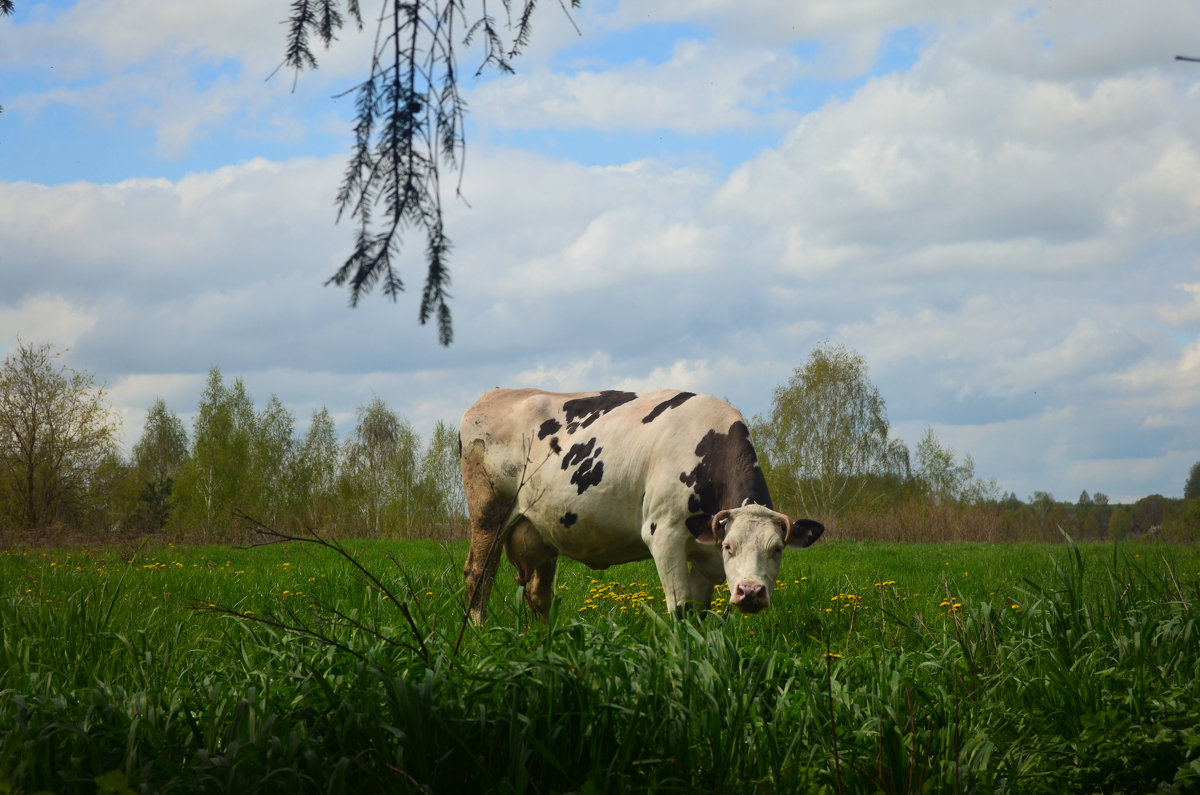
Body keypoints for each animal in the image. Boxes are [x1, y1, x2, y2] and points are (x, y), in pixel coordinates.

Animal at [458, 389, 825, 624]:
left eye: (777, 549)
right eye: (730, 546)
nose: (750, 591)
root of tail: (491, 396)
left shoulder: (706, 562)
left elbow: (698, 614)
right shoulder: (664, 535)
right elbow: (680, 612)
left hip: (541, 531)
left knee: (538, 595)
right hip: (488, 514)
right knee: (479, 576)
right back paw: (478, 634)